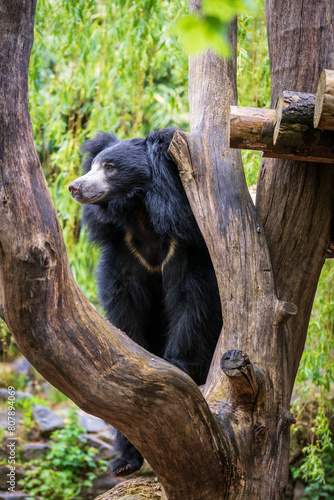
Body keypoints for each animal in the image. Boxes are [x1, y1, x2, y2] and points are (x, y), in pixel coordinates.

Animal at [69, 128, 223, 476]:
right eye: (93, 165)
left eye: (110, 168)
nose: (75, 187)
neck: (141, 216)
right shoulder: (124, 252)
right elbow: (125, 310)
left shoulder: (185, 247)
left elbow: (192, 304)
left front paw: (176, 365)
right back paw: (125, 463)